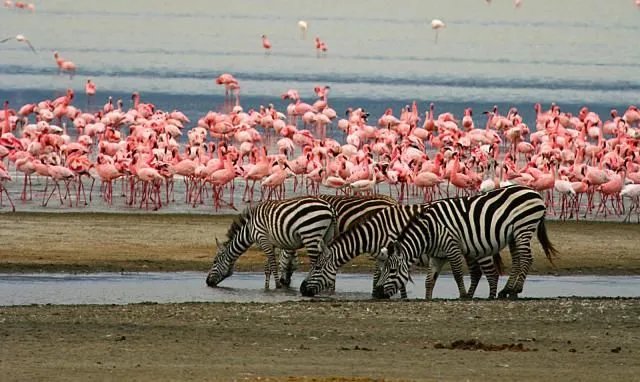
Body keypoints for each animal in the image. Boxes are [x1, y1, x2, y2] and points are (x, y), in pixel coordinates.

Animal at [206, 195, 338, 288]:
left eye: (214, 261)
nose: (207, 282)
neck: (249, 229)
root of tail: (329, 207)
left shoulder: (263, 239)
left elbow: (273, 265)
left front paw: (277, 285)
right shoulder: (270, 243)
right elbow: (267, 267)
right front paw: (266, 287)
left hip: (310, 234)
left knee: (315, 262)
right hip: (326, 237)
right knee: (328, 259)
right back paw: (329, 287)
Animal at [372, 184, 556, 300]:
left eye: (392, 270)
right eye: (383, 269)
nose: (378, 293)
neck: (430, 231)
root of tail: (533, 192)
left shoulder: (451, 246)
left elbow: (457, 273)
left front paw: (463, 295)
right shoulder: (437, 255)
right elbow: (429, 280)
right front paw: (428, 298)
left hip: (523, 228)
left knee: (526, 259)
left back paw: (516, 288)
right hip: (514, 236)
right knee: (517, 260)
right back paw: (507, 290)